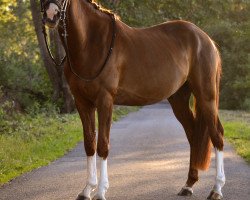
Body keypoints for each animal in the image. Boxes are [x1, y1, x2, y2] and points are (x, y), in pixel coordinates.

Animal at [41, 0, 225, 200]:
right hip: (179, 100)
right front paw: (87, 190)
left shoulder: (105, 100)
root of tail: (206, 39)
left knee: (217, 135)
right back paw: (188, 185)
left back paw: (216, 189)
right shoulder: (82, 102)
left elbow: (103, 145)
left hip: (206, 95)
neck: (90, 42)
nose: (51, 16)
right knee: (193, 136)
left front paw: (101, 191)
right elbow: (89, 144)